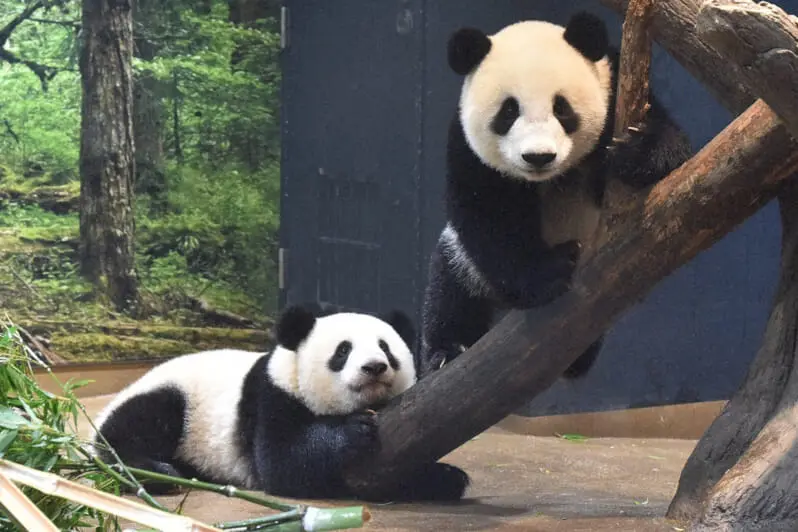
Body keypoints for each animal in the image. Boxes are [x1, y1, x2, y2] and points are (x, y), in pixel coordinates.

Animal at [91, 303, 469, 502]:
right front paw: (352, 431)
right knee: (142, 422)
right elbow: (284, 461)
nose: (374, 367)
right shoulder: (272, 397)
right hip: (174, 397)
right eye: (343, 351)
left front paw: (446, 476)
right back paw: (155, 470)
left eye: (385, 348)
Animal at [419, 12, 692, 378]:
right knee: (449, 288)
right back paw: (446, 350)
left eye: (561, 108)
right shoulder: (467, 147)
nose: (538, 157)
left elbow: (671, 150)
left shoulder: (616, 90)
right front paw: (550, 272)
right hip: (468, 267)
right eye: (508, 112)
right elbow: (487, 215)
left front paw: (638, 151)